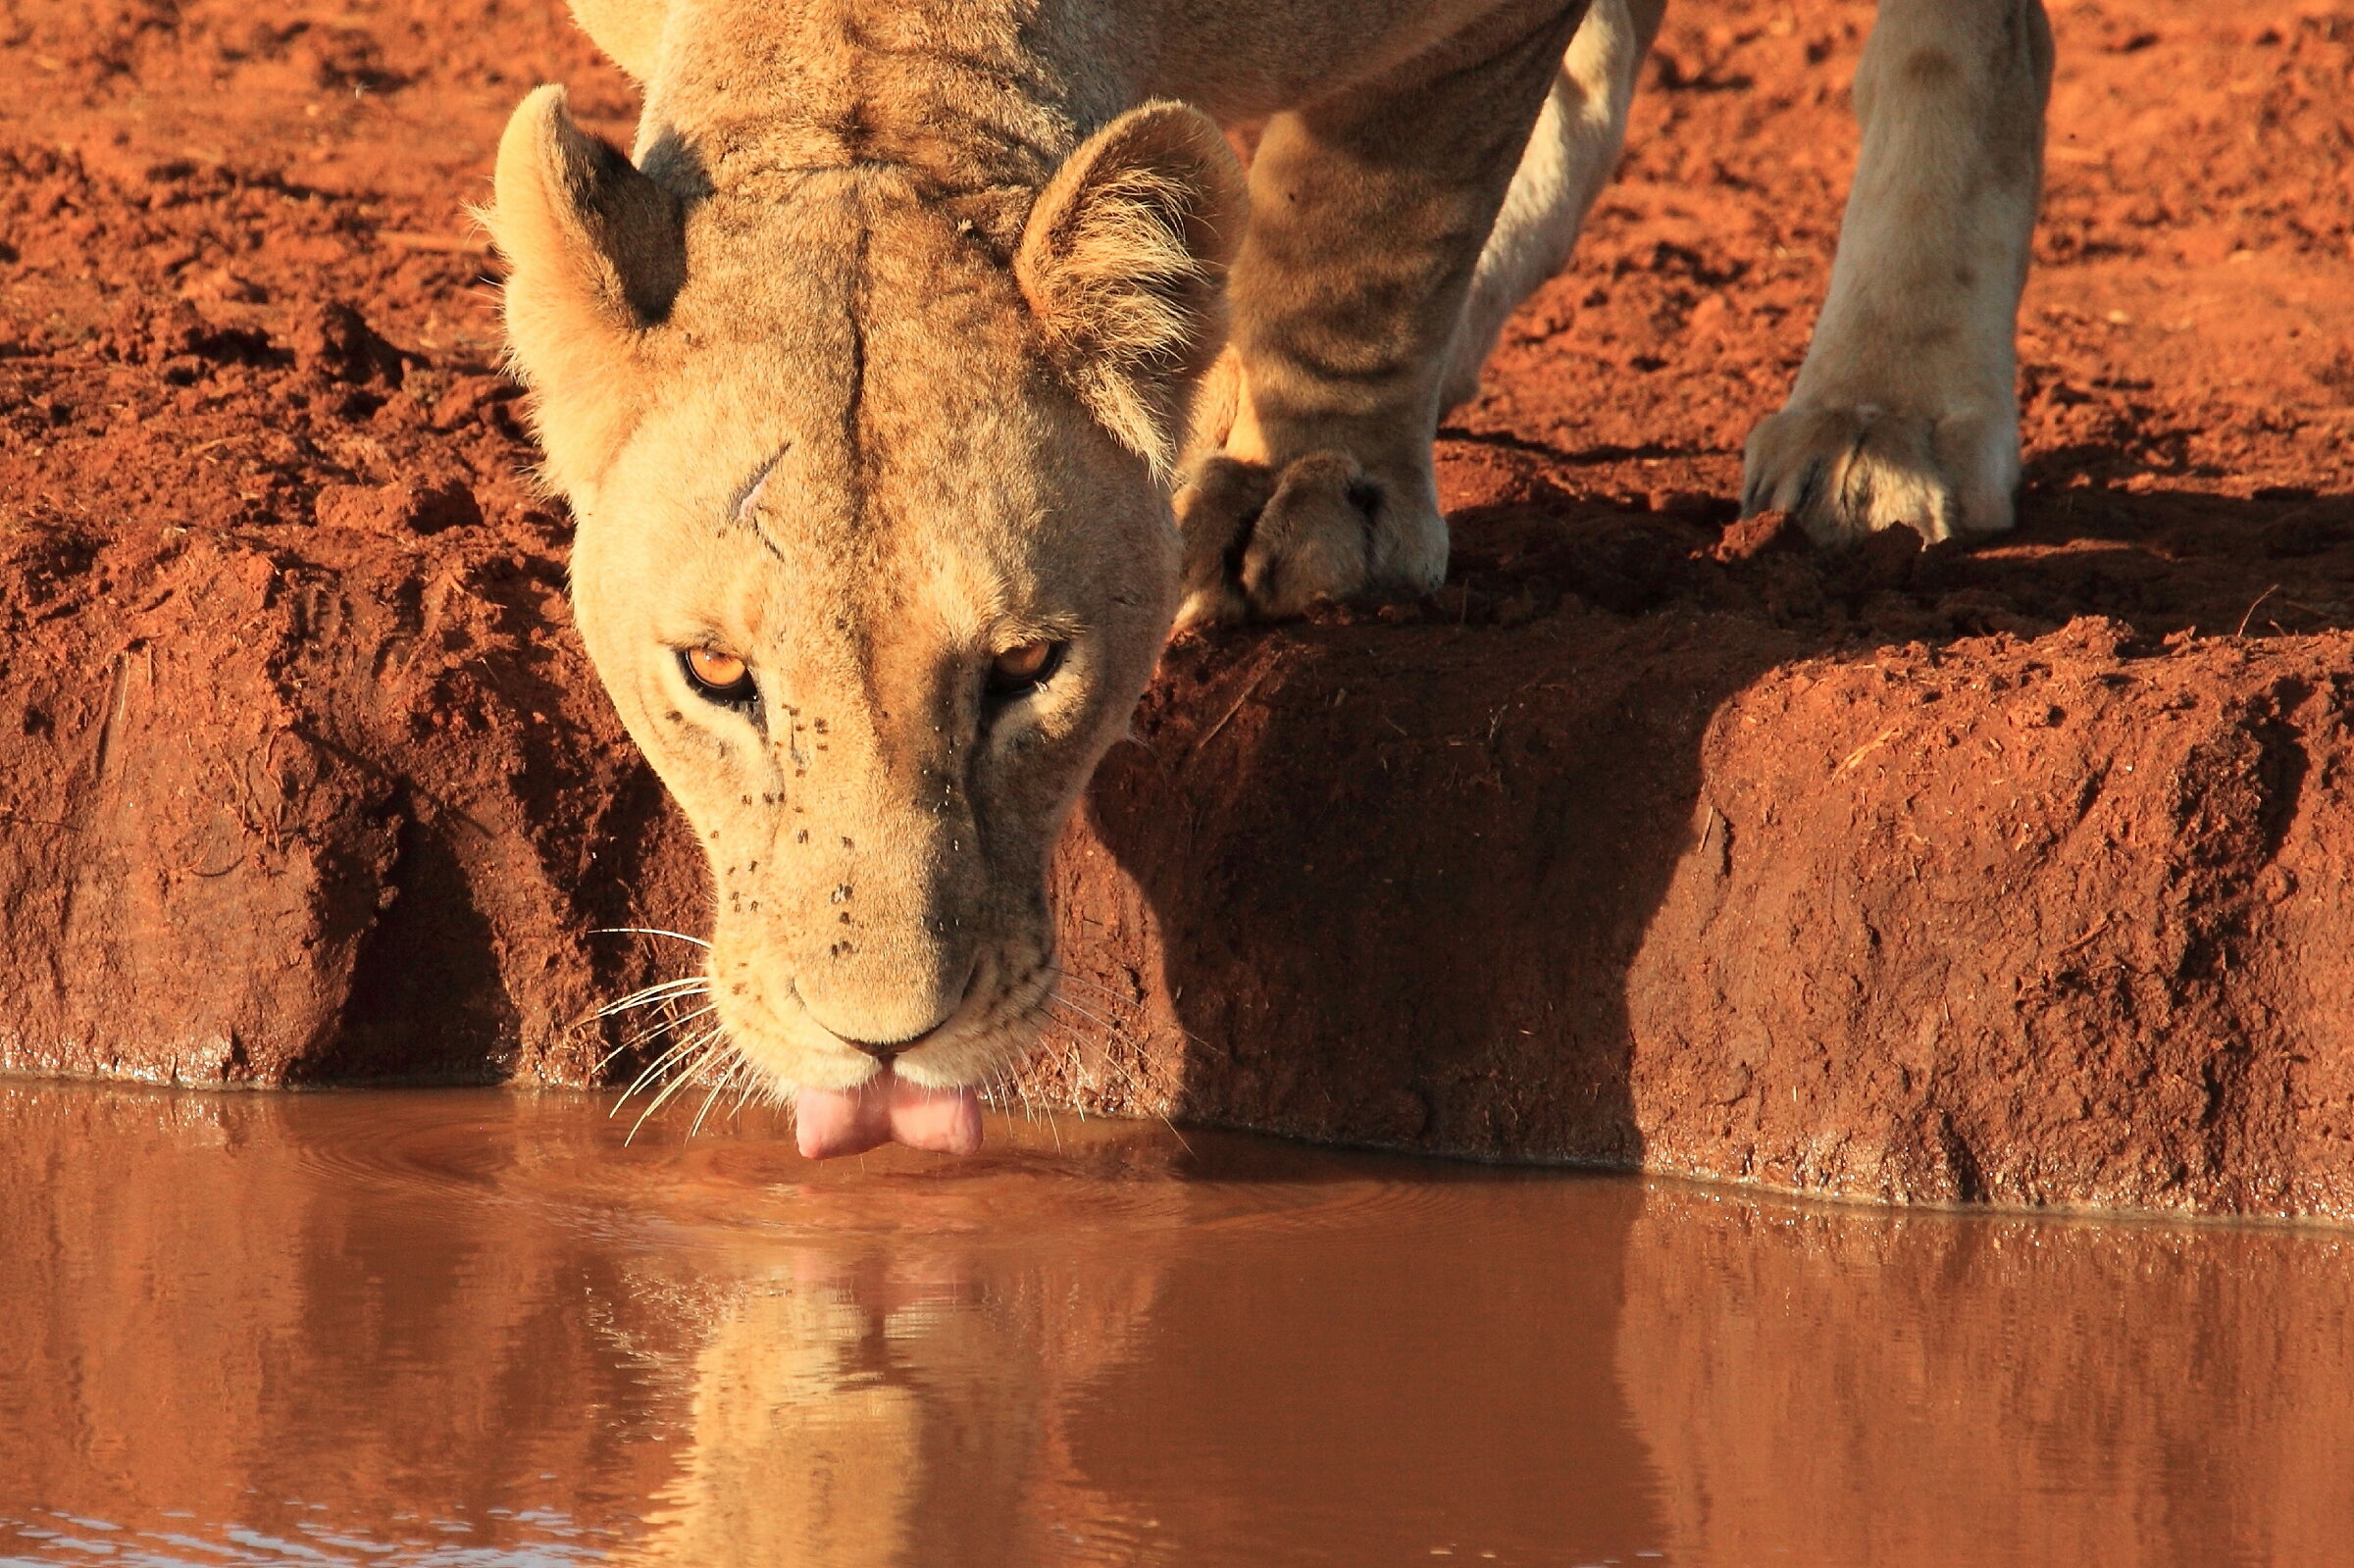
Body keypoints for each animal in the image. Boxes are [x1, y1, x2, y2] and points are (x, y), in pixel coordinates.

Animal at [488, 0, 2053, 1156]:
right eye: (715, 677)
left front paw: (1313, 490)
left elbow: (1375, 225)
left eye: (1025, 670)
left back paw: (1887, 419)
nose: (883, 1044)